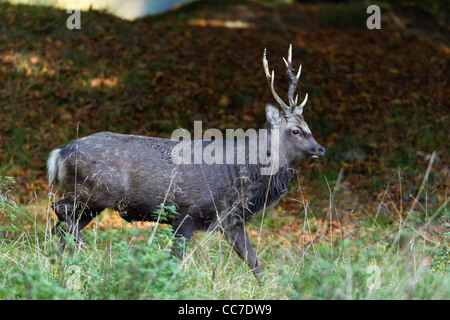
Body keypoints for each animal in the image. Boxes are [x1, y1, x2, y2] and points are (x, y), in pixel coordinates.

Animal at [47, 45, 326, 280]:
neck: (240, 175)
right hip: (94, 191)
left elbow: (252, 259)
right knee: (60, 211)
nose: (320, 149)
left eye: (309, 127)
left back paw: (60, 266)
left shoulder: (231, 219)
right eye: (296, 131)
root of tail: (60, 152)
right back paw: (84, 252)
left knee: (60, 228)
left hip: (91, 201)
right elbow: (175, 259)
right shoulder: (186, 212)